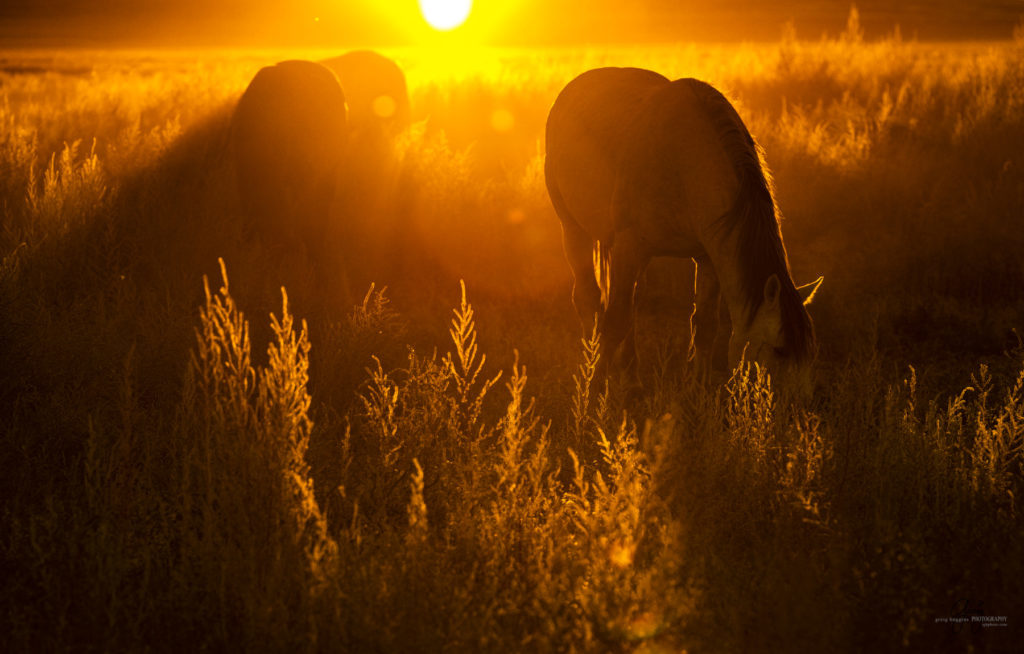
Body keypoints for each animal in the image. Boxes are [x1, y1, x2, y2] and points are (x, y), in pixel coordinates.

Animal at [544, 66, 823, 393]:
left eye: (811, 352)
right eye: (779, 349)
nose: (797, 405)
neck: (687, 164)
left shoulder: (708, 254)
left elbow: (705, 324)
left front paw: (699, 388)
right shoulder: (629, 245)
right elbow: (614, 321)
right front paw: (597, 386)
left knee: (632, 301)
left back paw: (632, 376)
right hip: (573, 227)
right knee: (589, 298)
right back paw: (593, 363)